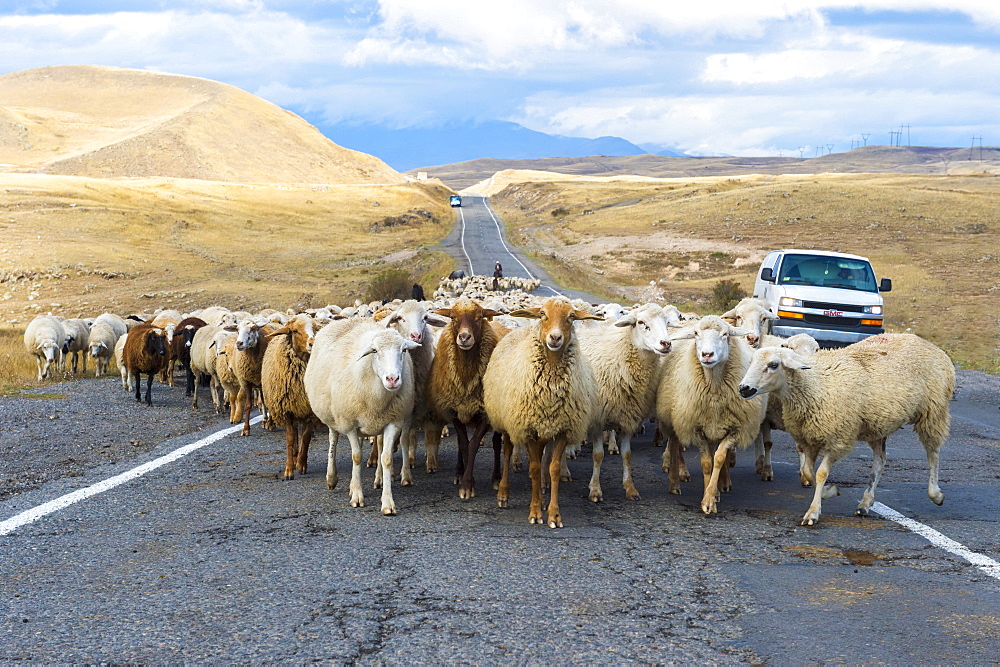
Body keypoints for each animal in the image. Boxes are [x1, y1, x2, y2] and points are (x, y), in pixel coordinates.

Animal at [260, 318, 322, 480]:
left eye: (315, 328)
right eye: (294, 331)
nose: (312, 342)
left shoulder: (310, 412)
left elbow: (306, 438)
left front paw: (301, 464)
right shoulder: (286, 411)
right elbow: (290, 439)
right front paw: (289, 469)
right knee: (294, 435)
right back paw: (293, 457)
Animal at [300, 318, 418, 516]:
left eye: (403, 350)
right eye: (375, 351)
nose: (393, 379)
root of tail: (348, 319)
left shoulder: (392, 422)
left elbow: (386, 458)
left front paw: (387, 503)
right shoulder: (349, 424)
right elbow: (356, 457)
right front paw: (356, 495)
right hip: (333, 416)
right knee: (333, 440)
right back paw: (332, 478)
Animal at [428, 300, 508, 498]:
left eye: (479, 318)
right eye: (452, 318)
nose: (464, 337)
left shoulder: (485, 414)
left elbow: (473, 445)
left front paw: (467, 485)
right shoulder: (454, 410)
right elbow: (464, 444)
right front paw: (465, 478)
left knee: (496, 444)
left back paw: (496, 478)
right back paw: (458, 471)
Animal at [740, 334, 956, 528]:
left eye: (773, 365)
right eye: (751, 362)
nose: (744, 388)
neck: (815, 383)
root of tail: (927, 343)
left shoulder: (839, 439)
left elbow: (820, 473)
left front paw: (813, 513)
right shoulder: (808, 439)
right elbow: (809, 472)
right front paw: (829, 491)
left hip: (933, 411)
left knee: (933, 453)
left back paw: (936, 494)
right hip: (876, 425)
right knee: (880, 461)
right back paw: (865, 503)